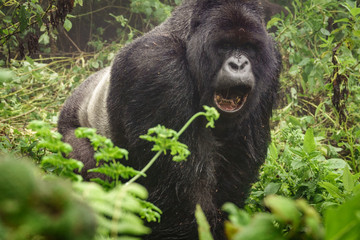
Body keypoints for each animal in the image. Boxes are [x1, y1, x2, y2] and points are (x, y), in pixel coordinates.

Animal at [57, 0, 282, 239]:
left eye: (249, 47)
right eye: (225, 45)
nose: (239, 65)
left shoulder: (271, 66)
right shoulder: (157, 66)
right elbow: (181, 193)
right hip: (69, 133)